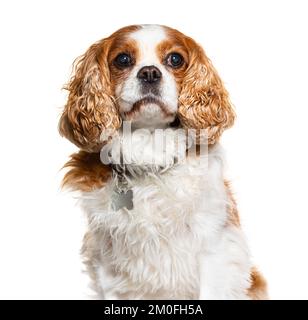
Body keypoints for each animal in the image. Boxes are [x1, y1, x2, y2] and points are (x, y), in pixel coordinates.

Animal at [58, 23, 268, 298]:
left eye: (175, 59)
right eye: (123, 59)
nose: (149, 72)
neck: (150, 146)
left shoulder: (215, 248)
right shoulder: (107, 261)